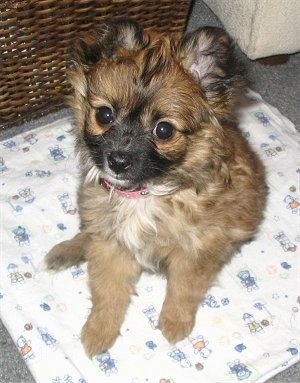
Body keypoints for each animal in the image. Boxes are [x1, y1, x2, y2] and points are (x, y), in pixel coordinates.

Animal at [45, 20, 268, 356]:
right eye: (104, 115)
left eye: (163, 130)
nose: (117, 160)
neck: (144, 193)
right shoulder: (112, 245)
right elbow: (107, 292)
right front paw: (99, 331)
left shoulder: (195, 251)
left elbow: (183, 290)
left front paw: (175, 324)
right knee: (88, 231)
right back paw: (65, 251)